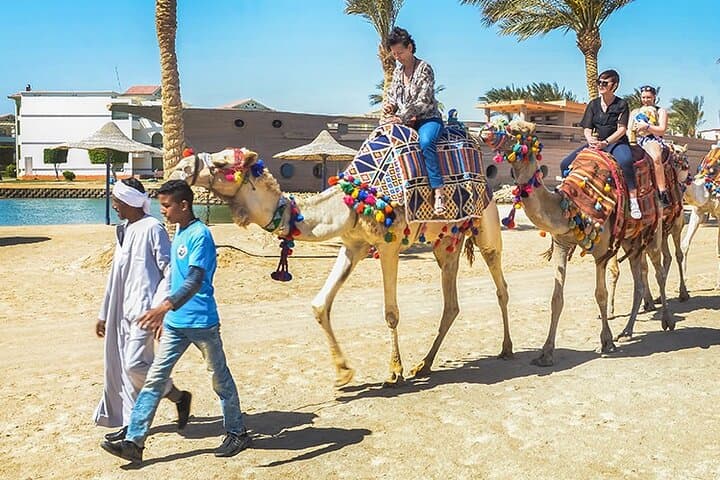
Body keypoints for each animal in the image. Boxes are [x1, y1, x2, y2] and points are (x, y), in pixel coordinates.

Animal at [168, 147, 512, 387]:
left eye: (223, 163)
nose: (179, 168)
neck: (348, 204)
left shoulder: (388, 244)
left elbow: (391, 313)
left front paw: (393, 371)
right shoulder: (353, 245)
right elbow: (320, 305)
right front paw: (343, 373)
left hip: (486, 227)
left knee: (500, 285)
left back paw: (507, 348)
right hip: (446, 242)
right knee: (451, 304)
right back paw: (424, 365)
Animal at [479, 120, 672, 366]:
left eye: (514, 130)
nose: (484, 131)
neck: (572, 205)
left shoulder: (601, 252)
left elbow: (600, 294)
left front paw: (606, 342)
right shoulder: (562, 244)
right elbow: (556, 298)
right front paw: (546, 352)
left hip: (654, 229)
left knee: (659, 270)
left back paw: (667, 321)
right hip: (631, 240)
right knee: (638, 281)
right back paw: (627, 331)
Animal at [607, 143, 691, 316]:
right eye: (684, 162)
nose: (688, 177)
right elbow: (630, 268)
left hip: (672, 226)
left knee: (676, 255)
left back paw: (682, 293)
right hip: (664, 230)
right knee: (668, 257)